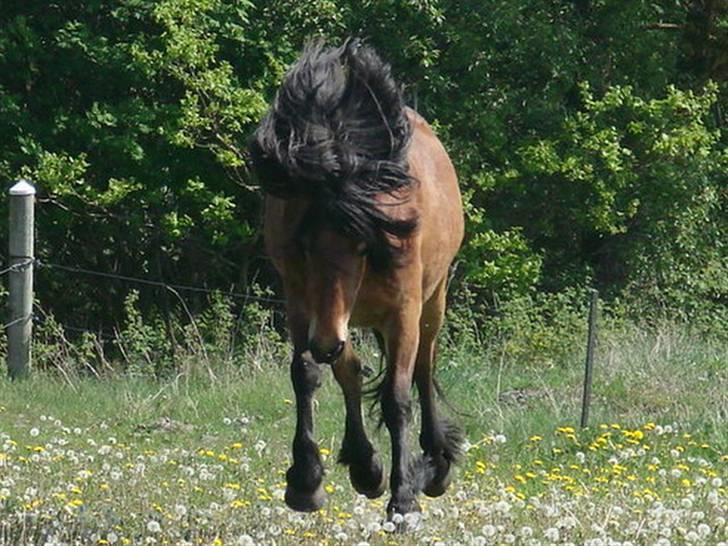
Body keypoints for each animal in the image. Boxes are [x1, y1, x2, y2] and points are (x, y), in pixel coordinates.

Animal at [250, 38, 464, 516]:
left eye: (364, 245)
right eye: (306, 243)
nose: (326, 341)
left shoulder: (403, 311)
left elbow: (397, 396)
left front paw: (403, 500)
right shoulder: (302, 304)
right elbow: (306, 373)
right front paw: (306, 481)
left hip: (432, 301)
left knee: (422, 369)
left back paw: (434, 464)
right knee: (348, 369)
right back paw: (365, 466)